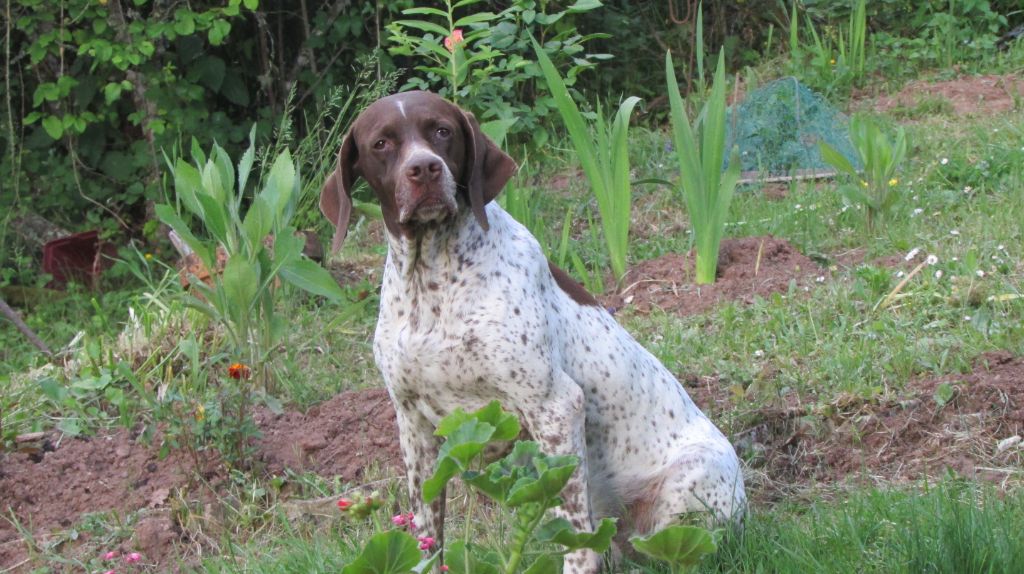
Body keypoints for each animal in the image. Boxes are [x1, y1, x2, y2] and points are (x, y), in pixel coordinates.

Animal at [319, 90, 745, 572]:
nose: (425, 168)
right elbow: (427, 531)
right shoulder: (415, 426)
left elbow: (578, 539)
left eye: (441, 131)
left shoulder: (554, 408)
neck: (433, 282)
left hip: (686, 496)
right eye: (382, 143)